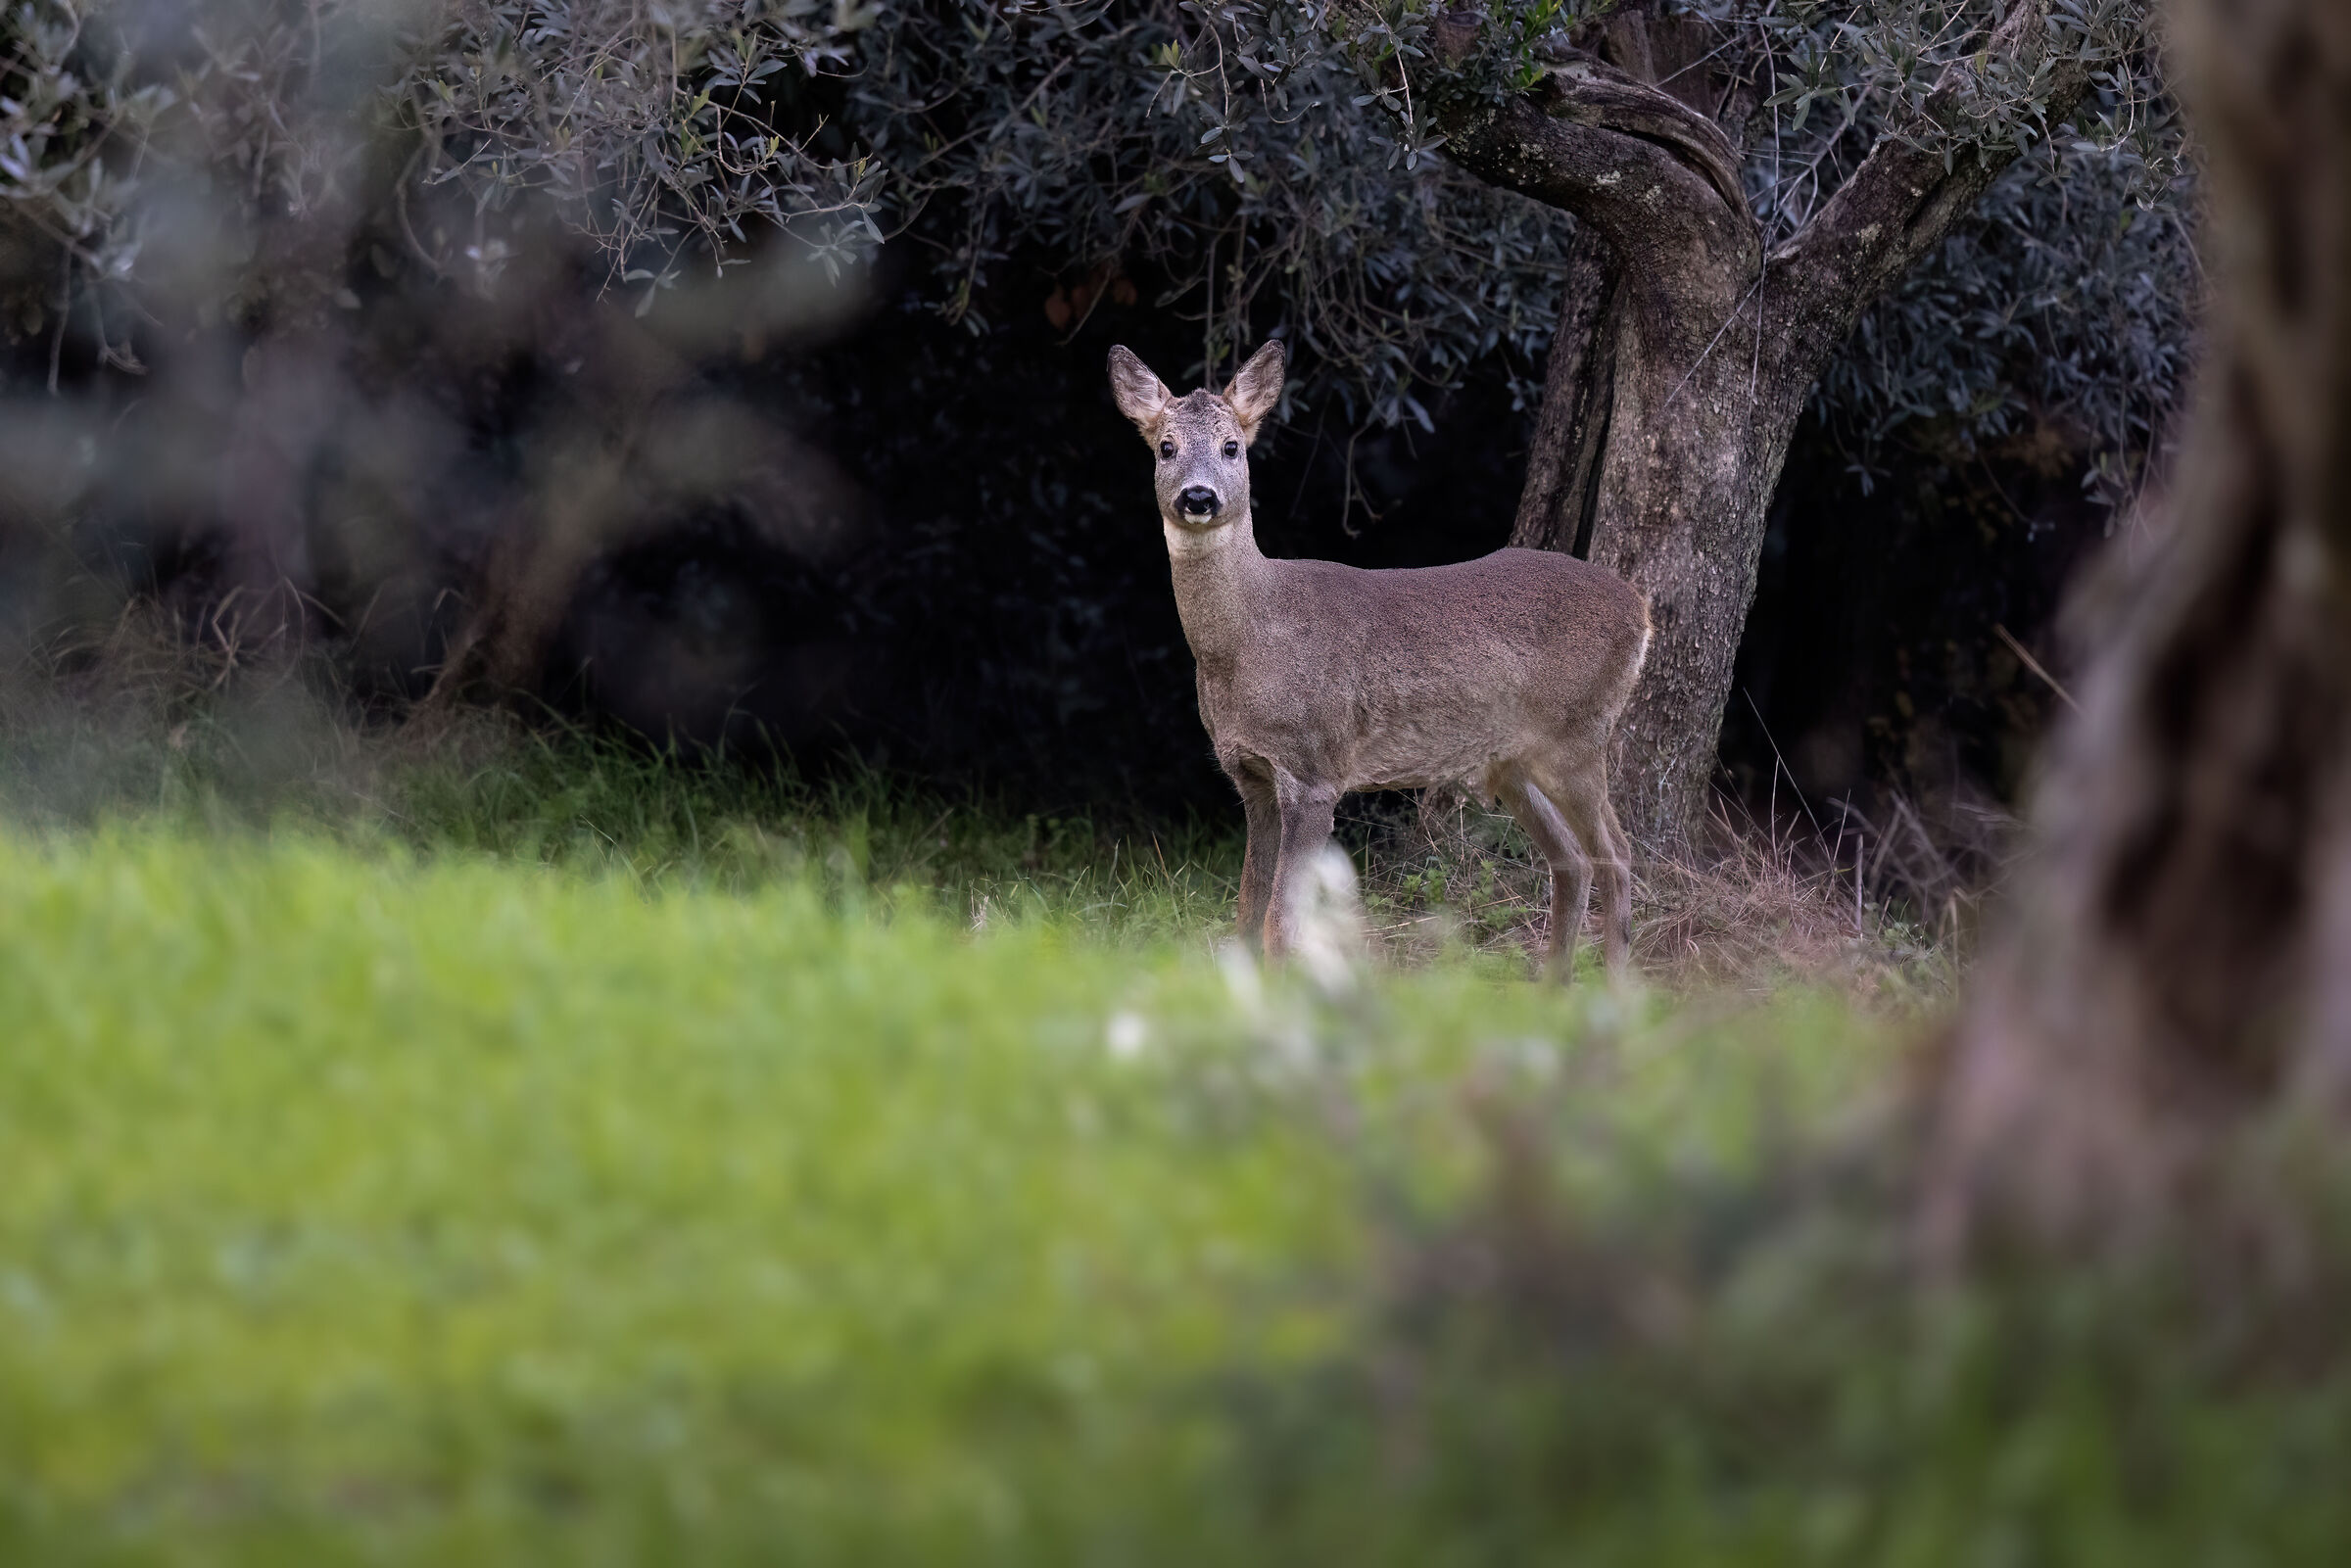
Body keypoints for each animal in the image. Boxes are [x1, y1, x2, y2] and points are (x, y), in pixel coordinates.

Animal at [1109, 339, 1651, 978]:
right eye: (1165, 447)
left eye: (1232, 447)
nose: (1198, 497)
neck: (1245, 646)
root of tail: (1641, 607)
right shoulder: (1252, 776)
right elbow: (1245, 912)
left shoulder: (1315, 768)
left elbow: (1279, 923)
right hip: (1514, 759)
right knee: (1574, 860)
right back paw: (1555, 990)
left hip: (1579, 735)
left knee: (1618, 855)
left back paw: (1614, 992)